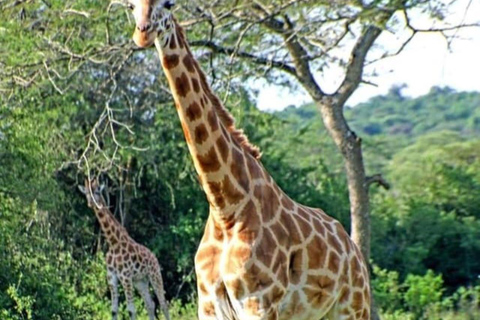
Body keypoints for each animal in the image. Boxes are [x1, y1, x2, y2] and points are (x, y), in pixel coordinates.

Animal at [78, 180, 170, 320]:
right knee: (150, 304)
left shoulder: (125, 276)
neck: (113, 242)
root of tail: (154, 257)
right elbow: (114, 310)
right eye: (86, 192)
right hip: (140, 281)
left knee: (163, 304)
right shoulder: (111, 276)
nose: (90, 203)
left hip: (154, 275)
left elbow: (131, 310)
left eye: (97, 191)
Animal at [120, 1, 372, 318]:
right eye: (130, 6)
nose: (142, 34)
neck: (226, 208)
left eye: (169, 4)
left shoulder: (258, 302)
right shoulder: (208, 305)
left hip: (353, 307)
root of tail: (355, 252)